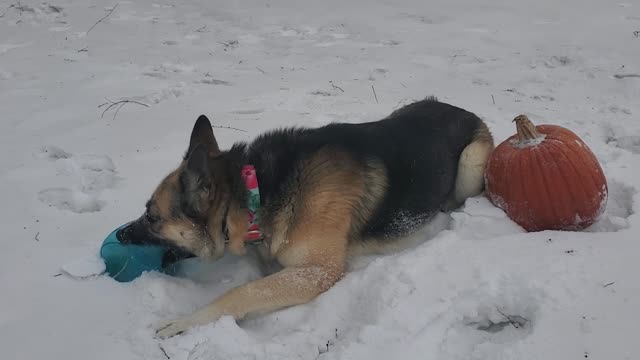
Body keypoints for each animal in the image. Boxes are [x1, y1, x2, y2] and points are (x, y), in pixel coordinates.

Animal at [117, 96, 492, 338]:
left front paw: (186, 321)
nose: (119, 237)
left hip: (472, 164)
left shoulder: (318, 271)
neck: (257, 191)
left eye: (152, 216)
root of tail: (462, 109)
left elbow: (243, 291)